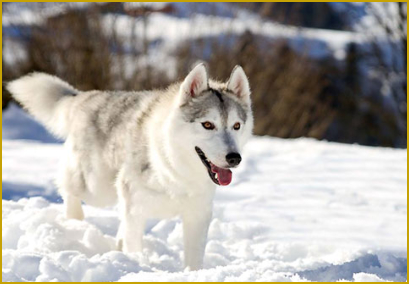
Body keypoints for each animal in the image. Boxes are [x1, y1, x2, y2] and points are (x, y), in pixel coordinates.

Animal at [7, 64, 252, 270]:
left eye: (236, 125)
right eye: (208, 125)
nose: (234, 158)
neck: (175, 171)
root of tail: (86, 96)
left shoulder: (197, 215)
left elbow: (194, 259)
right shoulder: (136, 209)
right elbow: (134, 245)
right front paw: (136, 266)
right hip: (97, 189)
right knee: (67, 186)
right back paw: (73, 224)